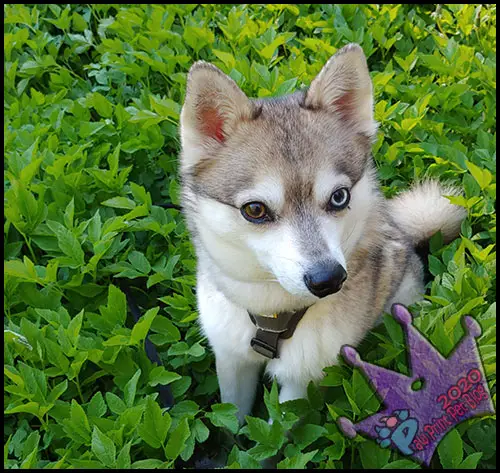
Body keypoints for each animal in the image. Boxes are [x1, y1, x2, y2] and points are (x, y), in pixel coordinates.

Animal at [179, 43, 464, 420]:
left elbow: (278, 430)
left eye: (339, 197)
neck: (271, 314)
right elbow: (234, 422)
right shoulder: (231, 361)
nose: (328, 279)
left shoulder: (300, 380)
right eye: (255, 210)